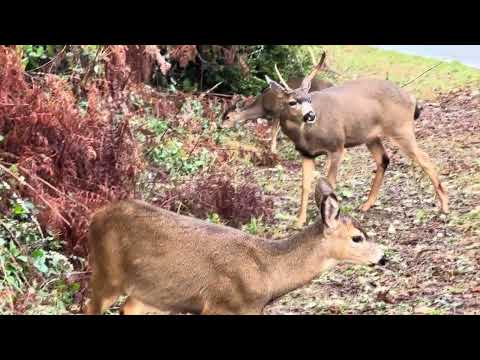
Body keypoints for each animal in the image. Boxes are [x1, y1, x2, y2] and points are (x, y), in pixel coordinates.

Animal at [83, 177, 386, 316]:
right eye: (357, 238)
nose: (383, 257)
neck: (269, 271)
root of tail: (95, 216)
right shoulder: (220, 305)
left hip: (148, 293)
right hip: (106, 273)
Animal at [260, 51, 448, 226]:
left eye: (309, 99)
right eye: (292, 102)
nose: (311, 115)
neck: (306, 135)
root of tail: (412, 99)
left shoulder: (337, 146)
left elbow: (329, 183)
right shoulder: (306, 154)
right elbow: (304, 186)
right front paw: (299, 221)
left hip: (401, 128)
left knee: (424, 158)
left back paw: (444, 207)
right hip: (371, 136)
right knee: (384, 159)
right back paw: (366, 205)